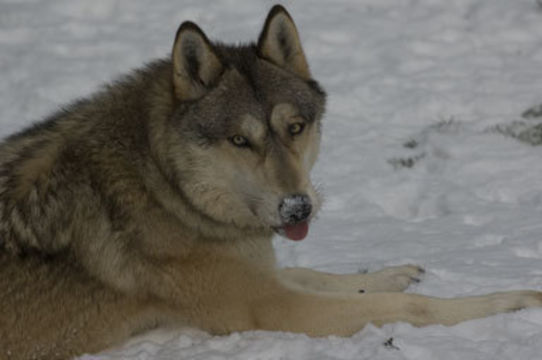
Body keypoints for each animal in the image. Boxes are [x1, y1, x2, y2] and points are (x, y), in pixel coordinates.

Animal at [1, 5, 542, 360]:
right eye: (241, 140)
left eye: (295, 128)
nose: (297, 208)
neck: (166, 186)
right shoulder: (270, 307)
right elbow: (412, 307)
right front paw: (511, 302)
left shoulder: (262, 273)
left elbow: (322, 275)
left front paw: (393, 271)